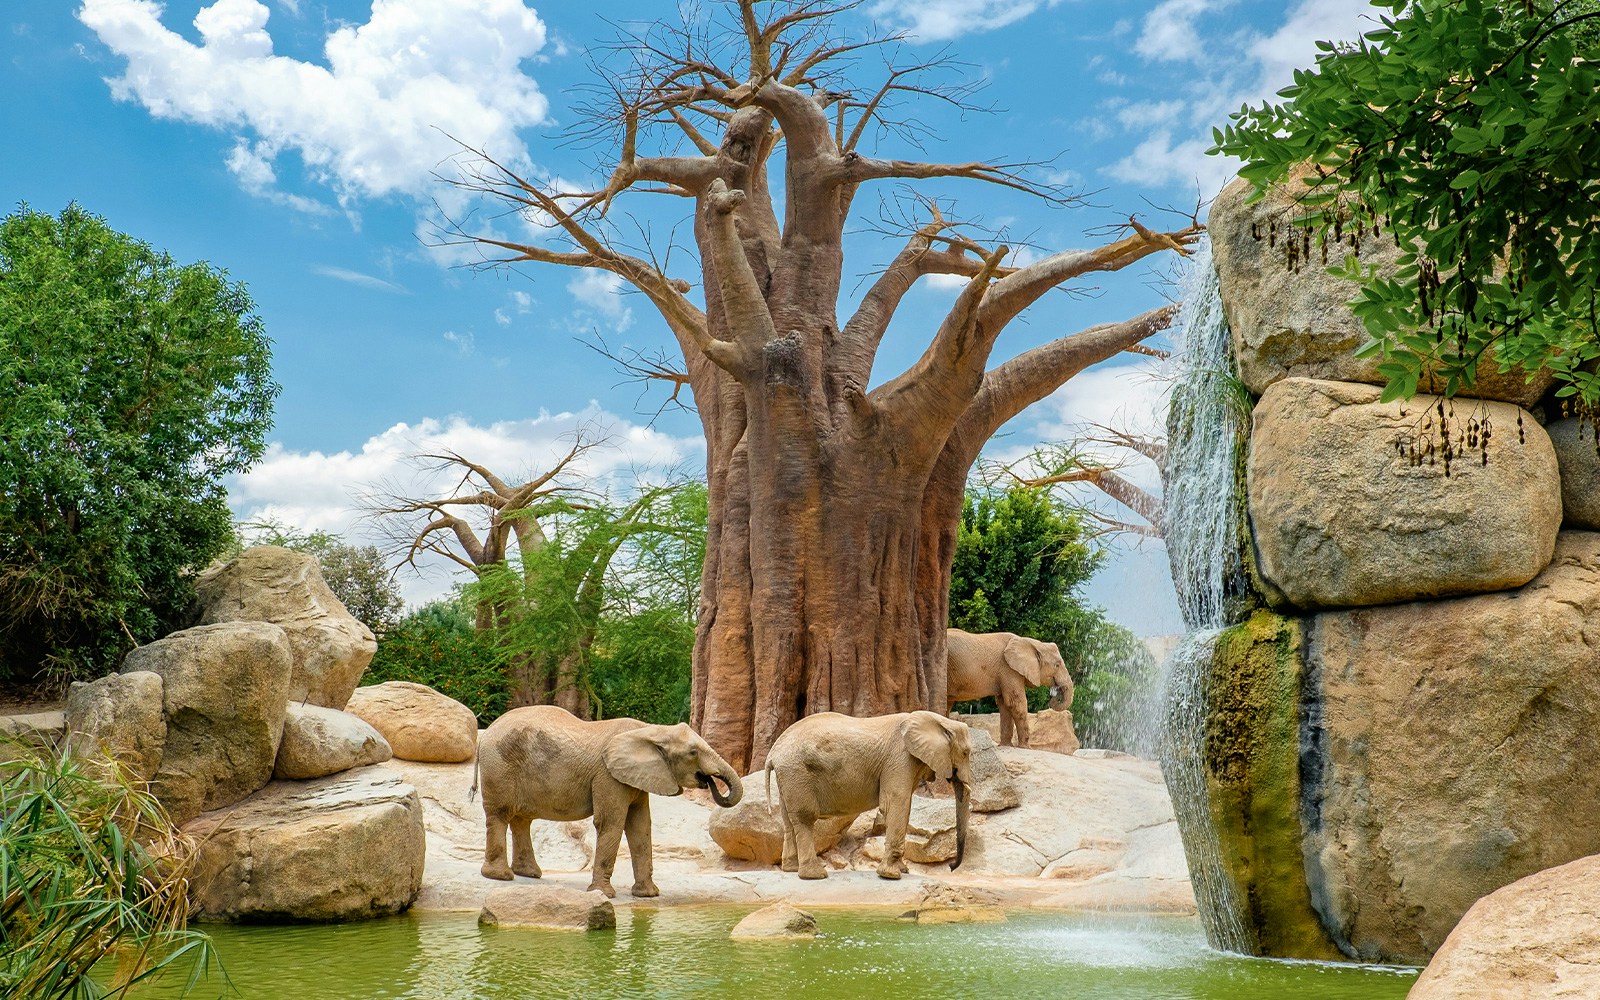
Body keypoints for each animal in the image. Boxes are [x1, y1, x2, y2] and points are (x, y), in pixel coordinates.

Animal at [472, 705, 743, 898]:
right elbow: (611, 823)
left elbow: (640, 826)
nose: (709, 781)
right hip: (499, 767)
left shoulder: (634, 778)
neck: (650, 730)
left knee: (521, 819)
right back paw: (501, 877)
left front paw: (648, 895)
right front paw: (604, 895)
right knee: (500, 815)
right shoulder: (607, 775)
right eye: (693, 753)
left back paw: (529, 874)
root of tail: (483, 736)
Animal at [765, 710, 974, 881]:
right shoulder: (900, 758)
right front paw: (891, 875)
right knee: (805, 818)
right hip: (797, 772)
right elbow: (897, 802)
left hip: (789, 777)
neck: (939, 721)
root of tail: (773, 753)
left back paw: (791, 869)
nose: (951, 866)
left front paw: (902, 870)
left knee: (788, 821)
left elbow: (902, 806)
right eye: (966, 753)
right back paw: (815, 875)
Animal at [946, 627, 1074, 747]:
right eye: (1057, 665)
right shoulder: (1009, 669)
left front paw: (1006, 745)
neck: (1031, 642)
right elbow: (1016, 702)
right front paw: (1026, 747)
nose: (1053, 695)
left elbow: (1005, 704)